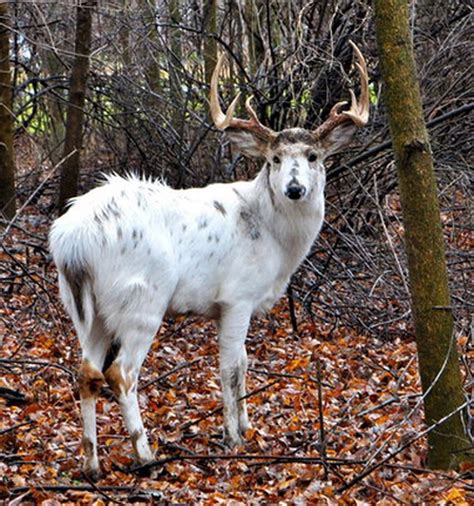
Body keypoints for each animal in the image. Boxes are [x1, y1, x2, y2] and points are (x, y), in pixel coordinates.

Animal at [50, 40, 368, 478]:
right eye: (273, 159)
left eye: (314, 156)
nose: (294, 189)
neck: (274, 237)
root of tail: (72, 240)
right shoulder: (237, 296)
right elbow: (230, 367)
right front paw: (233, 437)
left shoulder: (229, 306)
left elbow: (246, 361)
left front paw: (247, 426)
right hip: (142, 300)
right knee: (121, 374)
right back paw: (145, 455)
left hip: (85, 308)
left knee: (86, 372)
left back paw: (91, 463)